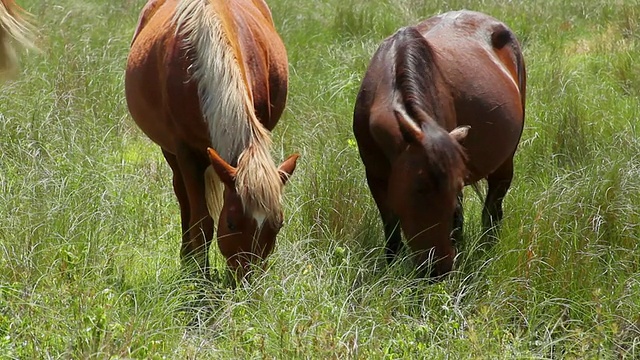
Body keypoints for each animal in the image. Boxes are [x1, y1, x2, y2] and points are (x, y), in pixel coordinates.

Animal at [126, 0, 298, 280]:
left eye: (278, 224)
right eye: (231, 223)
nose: (247, 281)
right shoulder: (185, 153)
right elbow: (202, 222)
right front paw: (200, 278)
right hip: (170, 152)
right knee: (182, 196)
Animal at [352, 10, 528, 276]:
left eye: (453, 189)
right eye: (419, 187)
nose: (438, 269)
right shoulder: (375, 176)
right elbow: (391, 230)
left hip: (505, 162)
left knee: (493, 208)